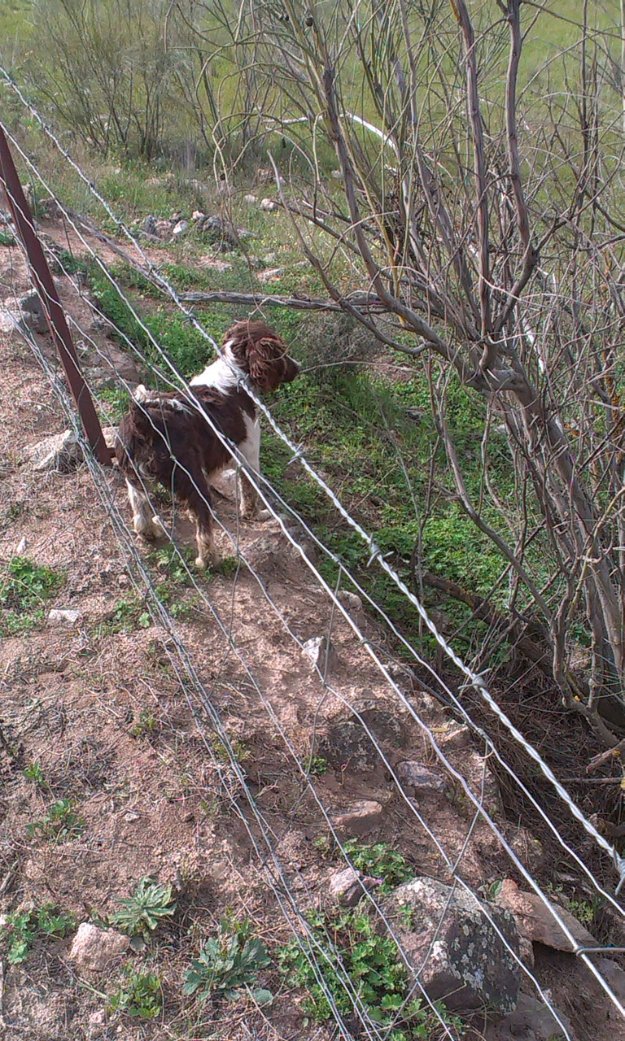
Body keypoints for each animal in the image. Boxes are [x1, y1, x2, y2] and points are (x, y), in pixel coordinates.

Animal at [115, 320, 300, 566]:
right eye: (283, 352)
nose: (298, 367)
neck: (235, 373)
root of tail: (144, 422)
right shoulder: (249, 456)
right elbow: (250, 493)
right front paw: (256, 515)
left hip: (134, 476)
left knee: (140, 511)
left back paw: (149, 532)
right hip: (193, 478)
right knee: (203, 527)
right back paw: (210, 560)